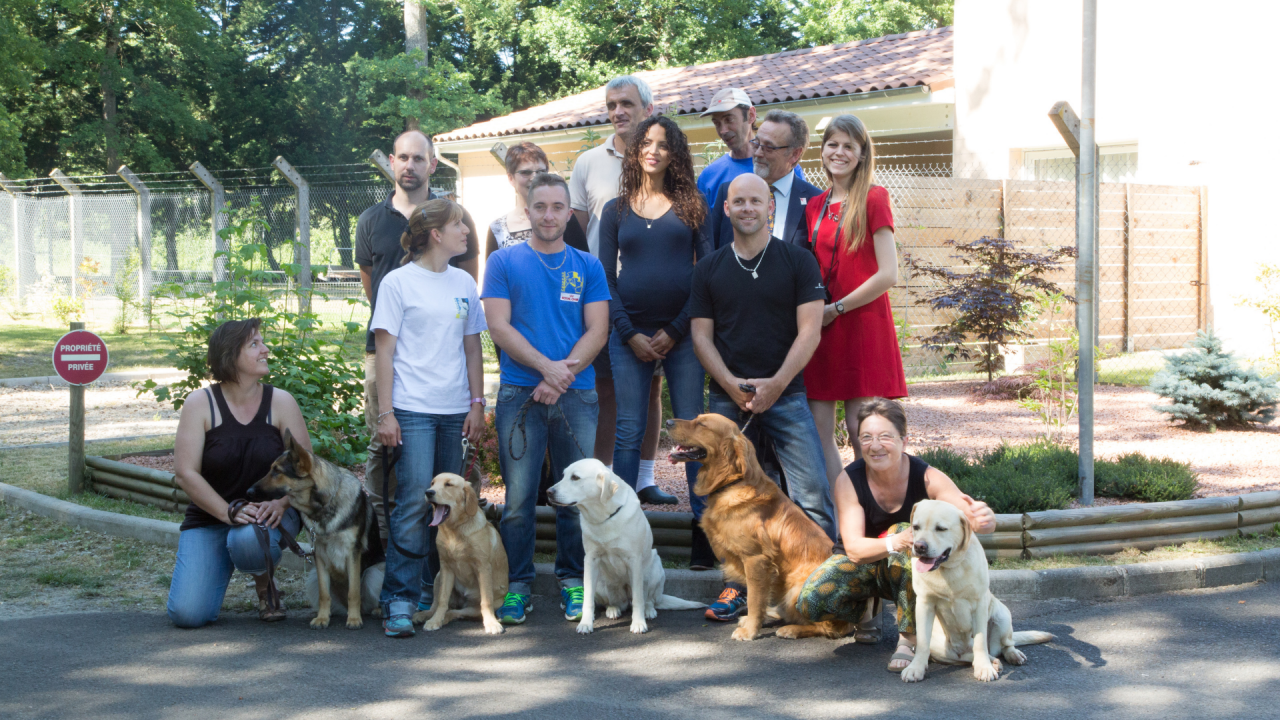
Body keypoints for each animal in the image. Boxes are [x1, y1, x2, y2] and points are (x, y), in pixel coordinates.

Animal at [249, 427, 384, 625]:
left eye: (276, 471)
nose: (248, 491)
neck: (325, 506)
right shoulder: (319, 555)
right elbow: (323, 593)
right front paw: (322, 618)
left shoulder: (353, 553)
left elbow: (353, 592)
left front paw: (353, 619)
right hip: (312, 576)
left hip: (374, 574)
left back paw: (374, 610)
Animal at [412, 468, 506, 630]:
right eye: (432, 483)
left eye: (448, 484)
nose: (428, 492)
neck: (455, 530)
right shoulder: (446, 567)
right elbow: (442, 600)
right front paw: (435, 620)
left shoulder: (483, 567)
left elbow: (486, 601)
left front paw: (491, 623)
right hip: (438, 576)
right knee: (437, 606)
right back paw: (425, 615)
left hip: (481, 605)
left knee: (457, 612)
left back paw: (446, 618)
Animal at [545, 456, 706, 630]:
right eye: (563, 476)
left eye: (575, 477)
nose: (548, 492)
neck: (604, 516)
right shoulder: (590, 560)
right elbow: (588, 599)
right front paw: (586, 623)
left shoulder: (634, 561)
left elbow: (638, 599)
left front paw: (638, 623)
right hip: (601, 583)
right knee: (614, 603)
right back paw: (613, 609)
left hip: (655, 567)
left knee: (649, 599)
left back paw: (648, 611)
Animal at [670, 409, 849, 638]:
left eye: (702, 424)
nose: (668, 422)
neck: (731, 482)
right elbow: (758, 600)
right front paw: (752, 622)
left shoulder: (756, 559)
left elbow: (755, 599)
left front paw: (750, 631)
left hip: (797, 588)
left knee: (829, 628)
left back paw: (791, 629)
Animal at [896, 497, 1054, 681]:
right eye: (915, 527)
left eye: (941, 529)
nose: (920, 546)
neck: (949, 568)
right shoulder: (924, 604)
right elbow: (922, 643)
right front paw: (916, 668)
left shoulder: (979, 604)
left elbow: (980, 641)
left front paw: (984, 668)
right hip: (942, 648)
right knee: (965, 656)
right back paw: (992, 662)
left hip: (1003, 616)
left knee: (1005, 645)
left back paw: (1010, 656)